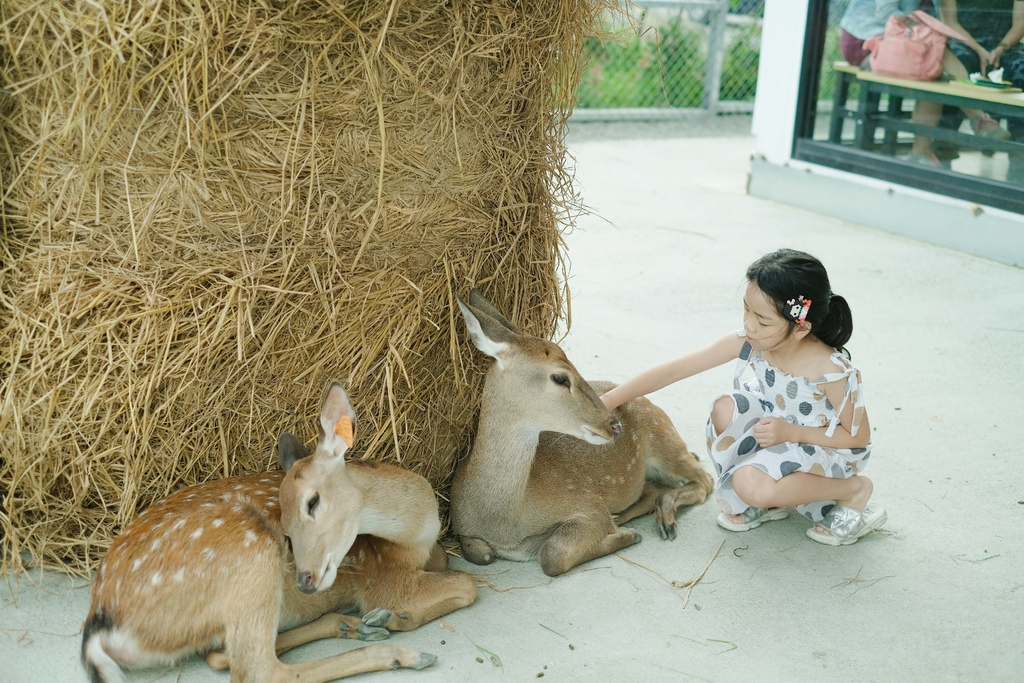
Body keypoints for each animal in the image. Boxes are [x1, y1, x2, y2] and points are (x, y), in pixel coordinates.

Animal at [82, 385, 475, 683]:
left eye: (312, 502)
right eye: (285, 528)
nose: (304, 579)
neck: (416, 534)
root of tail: (101, 624)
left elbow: (447, 561)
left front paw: (385, 618)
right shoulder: (383, 579)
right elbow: (468, 584)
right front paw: (396, 616)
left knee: (223, 654)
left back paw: (352, 625)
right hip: (251, 555)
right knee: (257, 670)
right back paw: (398, 651)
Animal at [452, 288, 716, 577]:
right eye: (560, 377)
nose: (614, 425)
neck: (505, 522)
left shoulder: (587, 504)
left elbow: (552, 554)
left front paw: (627, 535)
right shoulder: (460, 526)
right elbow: (481, 553)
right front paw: (623, 531)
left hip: (663, 436)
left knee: (705, 479)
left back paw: (662, 519)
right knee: (656, 488)